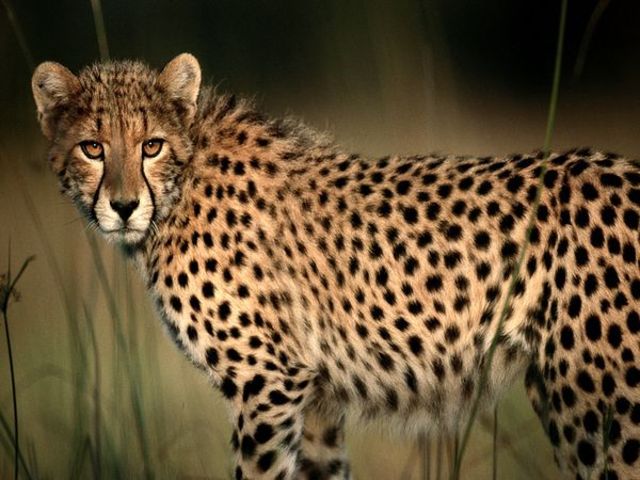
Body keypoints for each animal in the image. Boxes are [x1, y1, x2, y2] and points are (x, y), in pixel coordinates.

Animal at [31, 53, 640, 479]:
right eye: (92, 147)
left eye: (151, 145)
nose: (123, 205)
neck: (182, 184)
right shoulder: (315, 398)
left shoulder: (267, 382)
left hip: (600, 407)